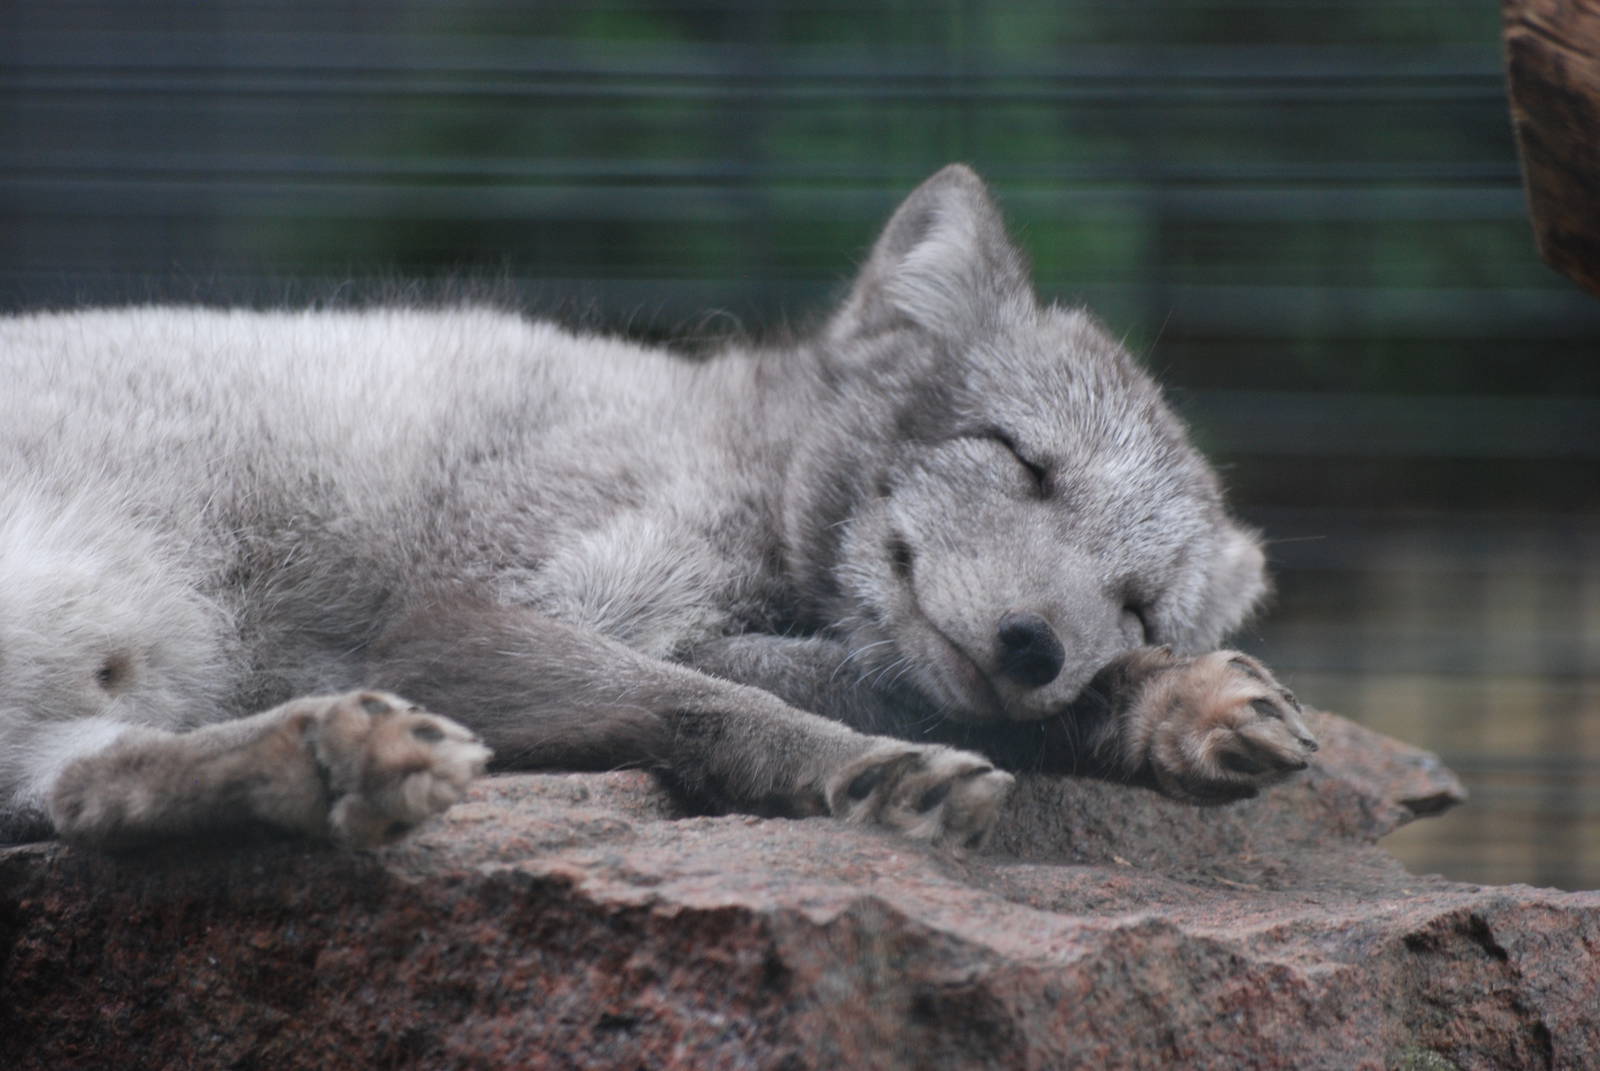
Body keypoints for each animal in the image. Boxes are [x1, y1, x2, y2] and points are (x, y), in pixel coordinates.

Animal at [0, 165, 1317, 854]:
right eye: (1022, 460)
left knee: (80, 796)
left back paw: (331, 760)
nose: (1037, 646)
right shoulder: (455, 617)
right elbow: (747, 695)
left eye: (1138, 606)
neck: (732, 450)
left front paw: (1161, 703)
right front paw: (864, 764)